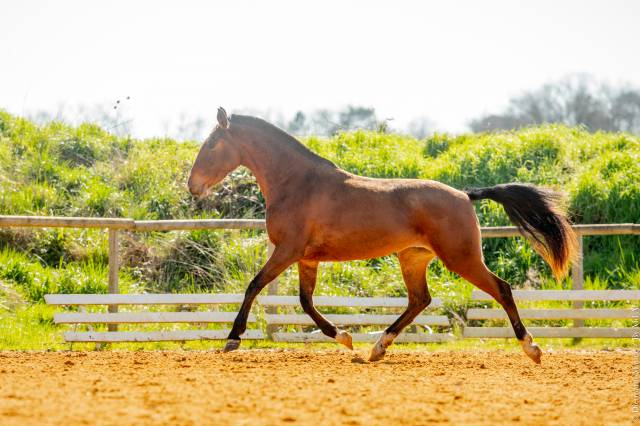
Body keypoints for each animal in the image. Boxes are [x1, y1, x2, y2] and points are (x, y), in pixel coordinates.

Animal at [188, 107, 578, 363]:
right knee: (419, 300)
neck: (297, 183)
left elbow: (254, 285)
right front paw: (345, 338)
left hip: (461, 257)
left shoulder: (287, 250)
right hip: (413, 257)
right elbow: (305, 301)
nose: (193, 186)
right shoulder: (306, 258)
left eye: (212, 145)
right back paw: (377, 347)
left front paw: (232, 339)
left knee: (502, 289)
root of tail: (465, 195)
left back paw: (532, 348)